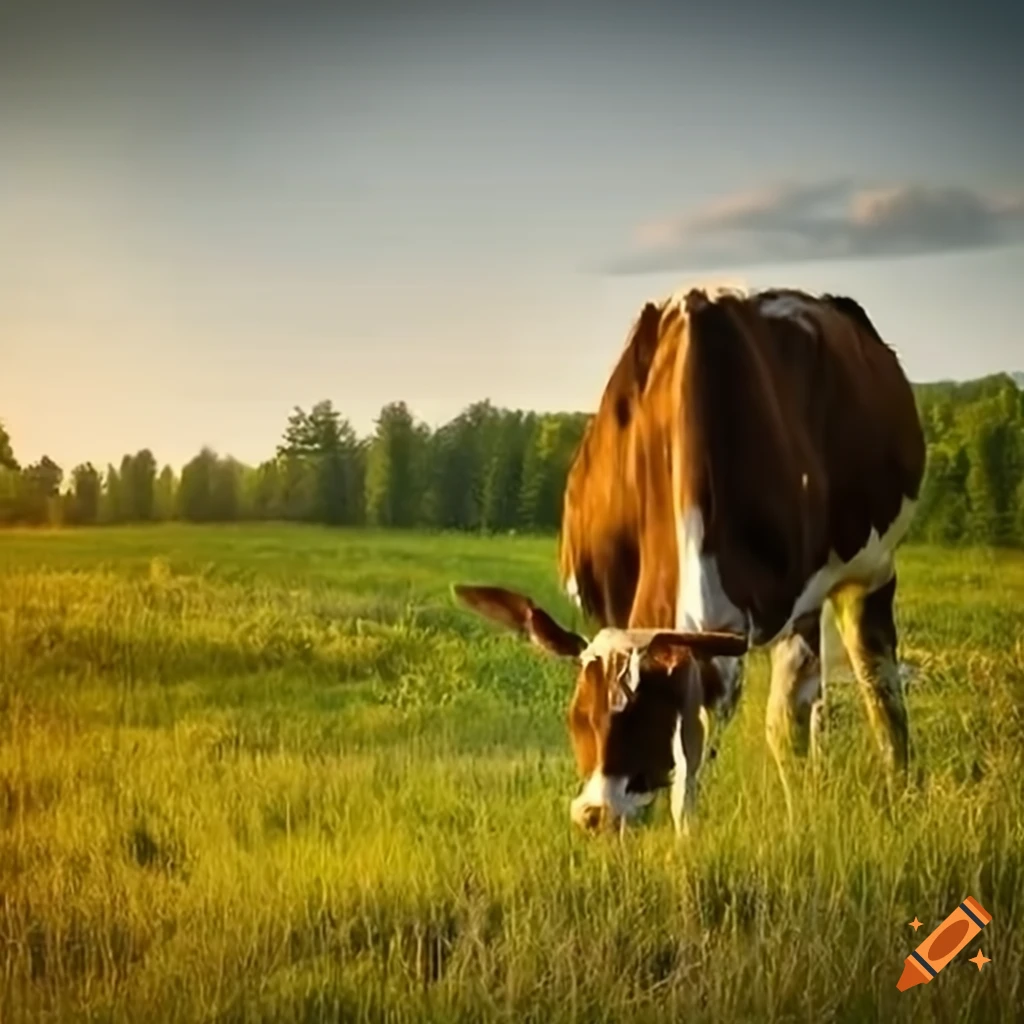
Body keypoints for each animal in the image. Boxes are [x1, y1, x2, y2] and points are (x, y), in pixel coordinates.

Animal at [453, 285, 926, 835]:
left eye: (648, 722)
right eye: (578, 718)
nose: (596, 815)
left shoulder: (786, 608)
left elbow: (762, 733)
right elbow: (700, 743)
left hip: (869, 572)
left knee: (877, 687)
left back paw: (899, 785)